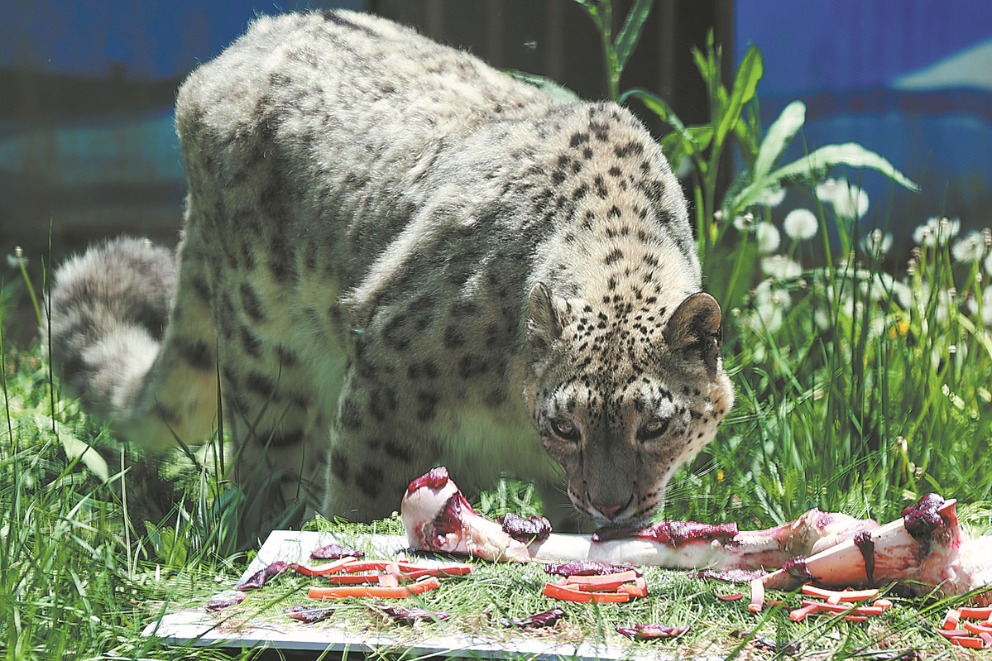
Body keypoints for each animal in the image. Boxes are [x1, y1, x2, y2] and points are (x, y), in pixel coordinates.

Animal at [46, 9, 734, 534]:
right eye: (566, 425)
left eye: (655, 425)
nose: (610, 506)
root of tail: (233, 50)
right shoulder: (386, 384)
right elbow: (364, 488)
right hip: (263, 354)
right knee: (267, 462)